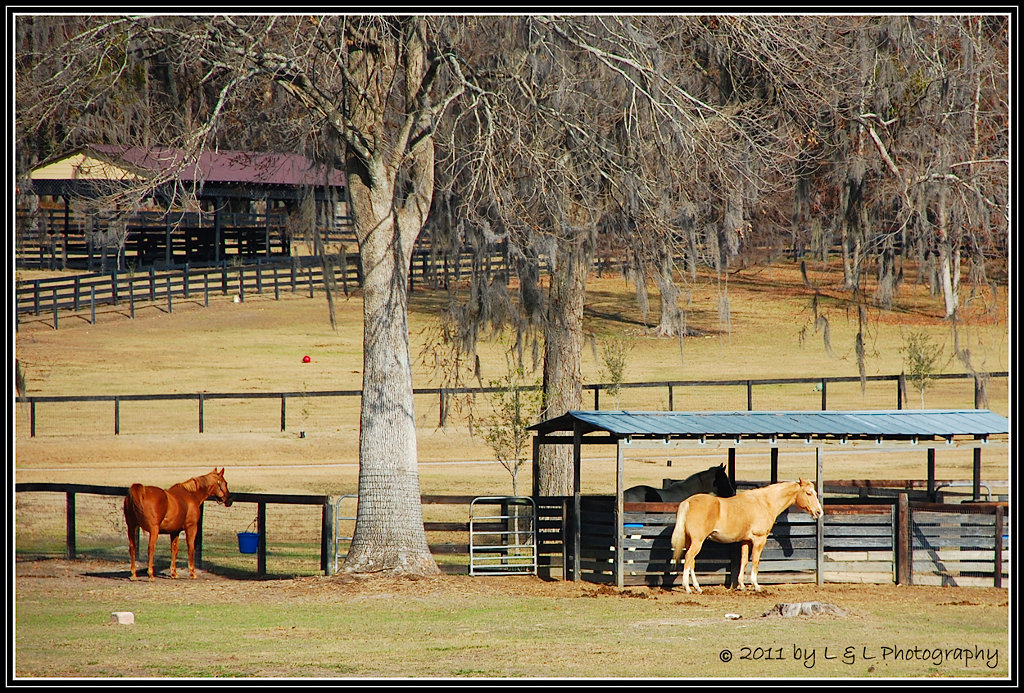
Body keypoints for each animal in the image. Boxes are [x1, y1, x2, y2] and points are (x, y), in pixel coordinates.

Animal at [669, 479, 823, 594]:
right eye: (809, 493)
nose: (819, 512)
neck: (764, 503)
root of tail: (688, 502)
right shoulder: (759, 540)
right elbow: (755, 561)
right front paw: (756, 585)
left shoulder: (746, 541)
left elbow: (743, 561)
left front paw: (742, 585)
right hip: (697, 542)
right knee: (688, 558)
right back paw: (688, 588)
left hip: (691, 541)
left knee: (691, 561)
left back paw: (697, 587)